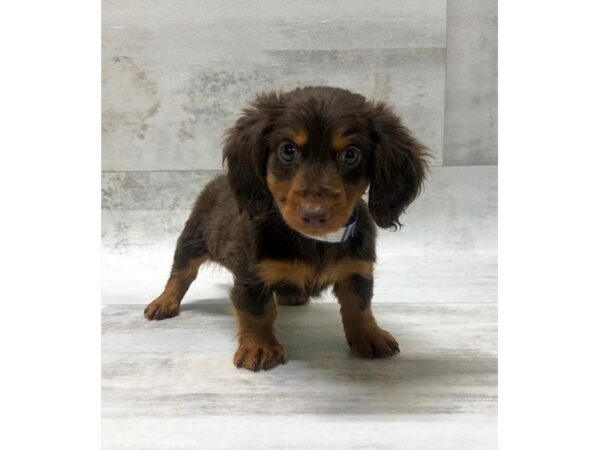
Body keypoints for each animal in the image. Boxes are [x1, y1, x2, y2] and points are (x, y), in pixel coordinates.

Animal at [144, 86, 428, 370]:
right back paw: (164, 301)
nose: (315, 214)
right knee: (181, 274)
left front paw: (370, 335)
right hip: (192, 241)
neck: (316, 241)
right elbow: (257, 312)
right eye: (288, 151)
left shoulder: (356, 270)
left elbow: (359, 306)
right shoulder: (252, 276)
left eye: (351, 154)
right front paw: (259, 347)